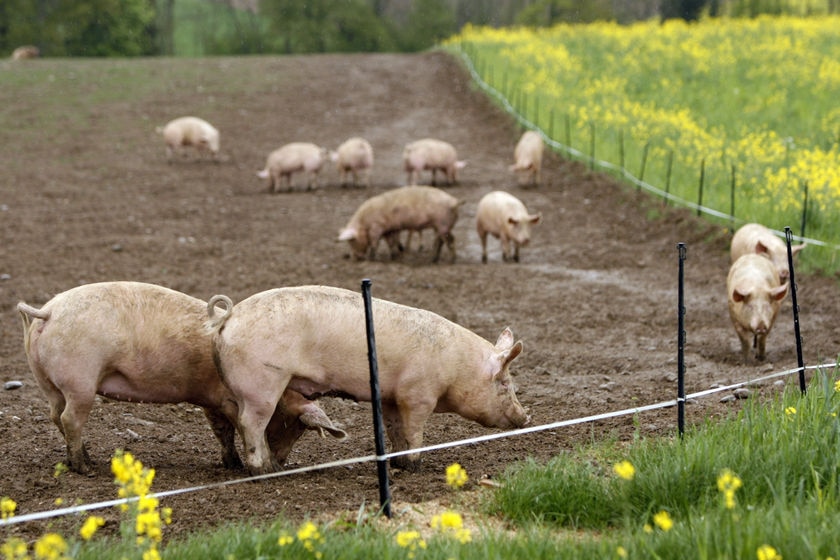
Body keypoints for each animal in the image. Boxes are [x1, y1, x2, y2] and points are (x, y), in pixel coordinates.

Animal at [17, 282, 344, 474]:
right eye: (294, 427)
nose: (282, 465)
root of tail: (47, 311)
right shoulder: (229, 400)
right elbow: (240, 429)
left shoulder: (212, 402)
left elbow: (222, 432)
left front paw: (231, 464)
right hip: (80, 381)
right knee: (70, 418)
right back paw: (84, 468)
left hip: (47, 382)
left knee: (55, 415)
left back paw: (83, 460)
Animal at [206, 286, 528, 474]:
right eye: (504, 383)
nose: (525, 417)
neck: (456, 365)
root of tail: (227, 318)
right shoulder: (417, 395)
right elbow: (414, 433)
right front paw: (416, 467)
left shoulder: (391, 398)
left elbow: (396, 431)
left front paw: (399, 464)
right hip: (262, 385)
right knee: (251, 424)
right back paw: (261, 472)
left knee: (243, 423)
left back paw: (269, 467)